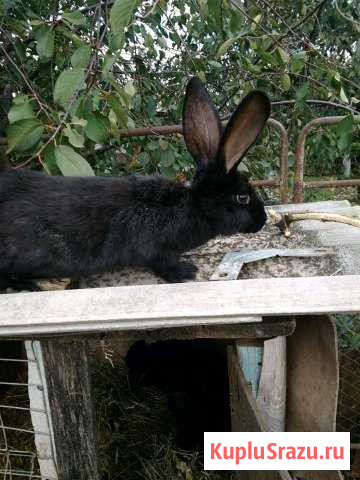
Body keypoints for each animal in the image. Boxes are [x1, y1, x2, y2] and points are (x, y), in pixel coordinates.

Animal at [0, 77, 270, 290]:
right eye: (243, 197)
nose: (262, 220)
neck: (194, 207)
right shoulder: (156, 250)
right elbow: (162, 264)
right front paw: (186, 272)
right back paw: (27, 285)